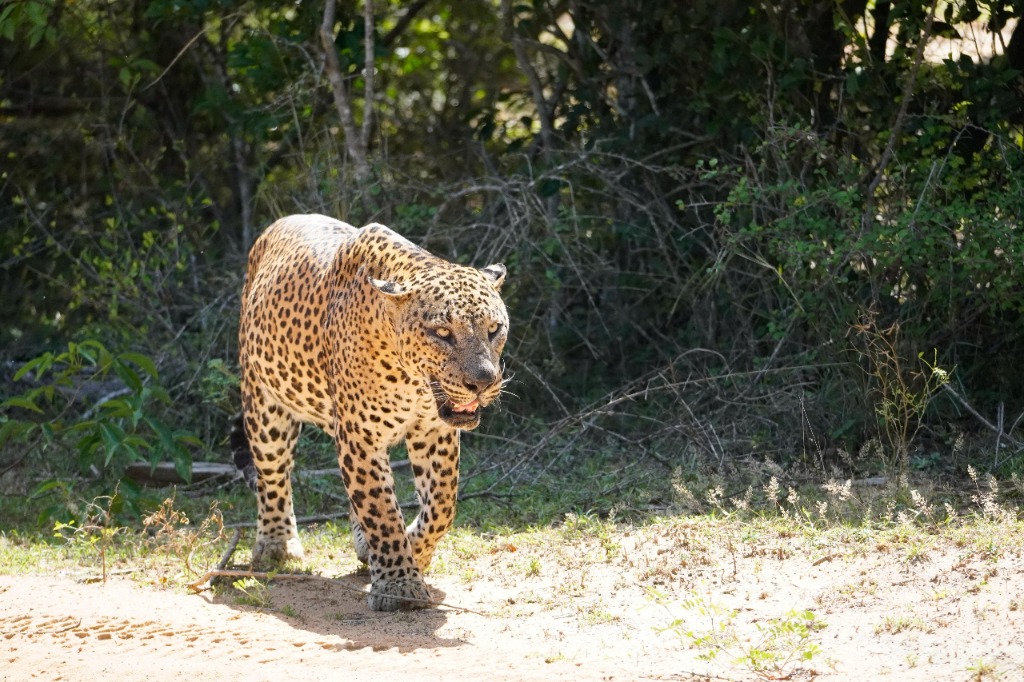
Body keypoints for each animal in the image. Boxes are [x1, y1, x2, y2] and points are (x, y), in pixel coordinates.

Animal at [232, 213, 508, 611]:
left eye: (494, 329)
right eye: (442, 333)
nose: (483, 382)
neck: (411, 379)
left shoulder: (433, 432)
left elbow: (442, 505)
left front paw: (415, 550)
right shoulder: (360, 437)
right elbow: (381, 511)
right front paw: (399, 584)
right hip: (264, 404)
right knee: (272, 474)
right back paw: (276, 544)